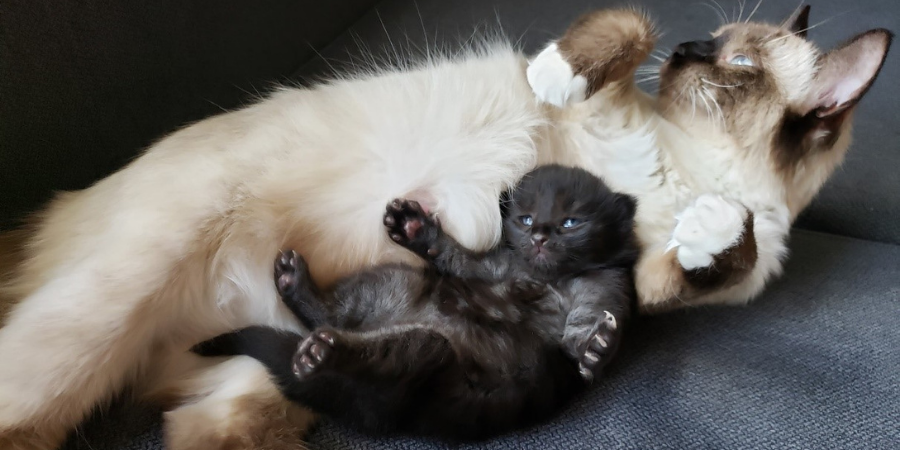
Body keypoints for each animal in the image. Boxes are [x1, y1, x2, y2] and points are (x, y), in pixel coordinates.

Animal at [195, 164, 640, 440]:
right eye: (525, 219)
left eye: (571, 222)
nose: (541, 236)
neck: (541, 277)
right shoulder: (488, 265)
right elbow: (452, 254)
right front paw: (414, 227)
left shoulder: (606, 288)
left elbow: (586, 326)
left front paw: (598, 345)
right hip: (392, 282)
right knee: (325, 314)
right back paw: (295, 286)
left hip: (422, 353)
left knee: (361, 349)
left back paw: (320, 352)